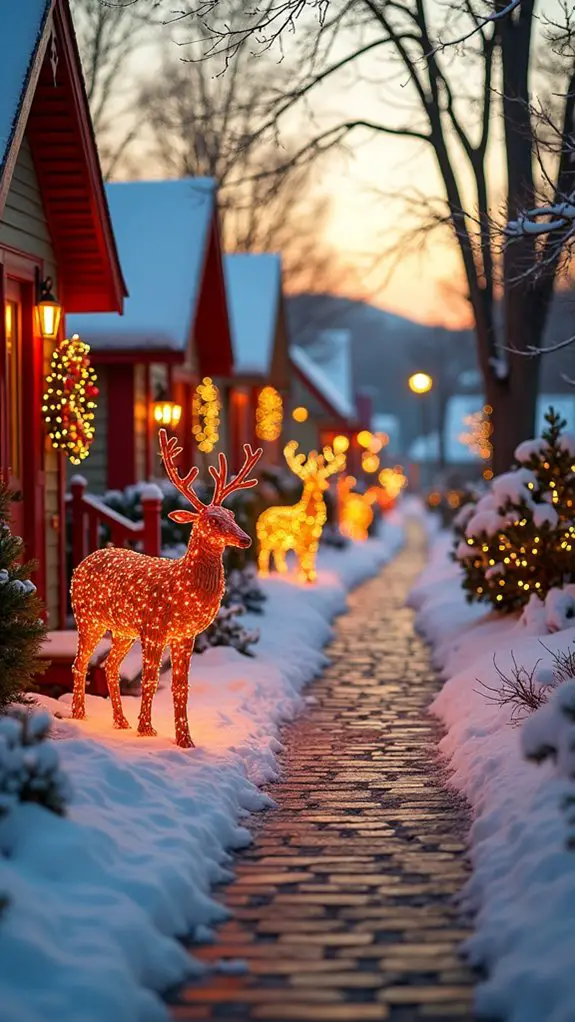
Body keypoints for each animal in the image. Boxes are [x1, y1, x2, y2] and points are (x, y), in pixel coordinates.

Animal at [70, 430, 262, 748]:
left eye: (232, 514)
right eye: (213, 520)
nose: (246, 539)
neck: (183, 584)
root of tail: (84, 560)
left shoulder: (184, 635)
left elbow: (180, 686)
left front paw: (185, 740)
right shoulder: (154, 628)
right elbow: (149, 680)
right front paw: (146, 730)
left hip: (123, 630)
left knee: (110, 666)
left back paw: (120, 721)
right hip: (87, 618)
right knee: (81, 663)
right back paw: (78, 716)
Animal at [256, 441, 345, 584]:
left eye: (321, 480)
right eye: (307, 481)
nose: (320, 488)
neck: (310, 518)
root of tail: (262, 515)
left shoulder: (314, 538)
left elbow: (311, 556)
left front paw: (311, 577)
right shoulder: (299, 539)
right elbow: (303, 556)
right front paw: (304, 577)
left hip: (280, 541)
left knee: (278, 553)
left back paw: (283, 572)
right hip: (266, 538)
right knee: (264, 554)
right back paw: (264, 575)